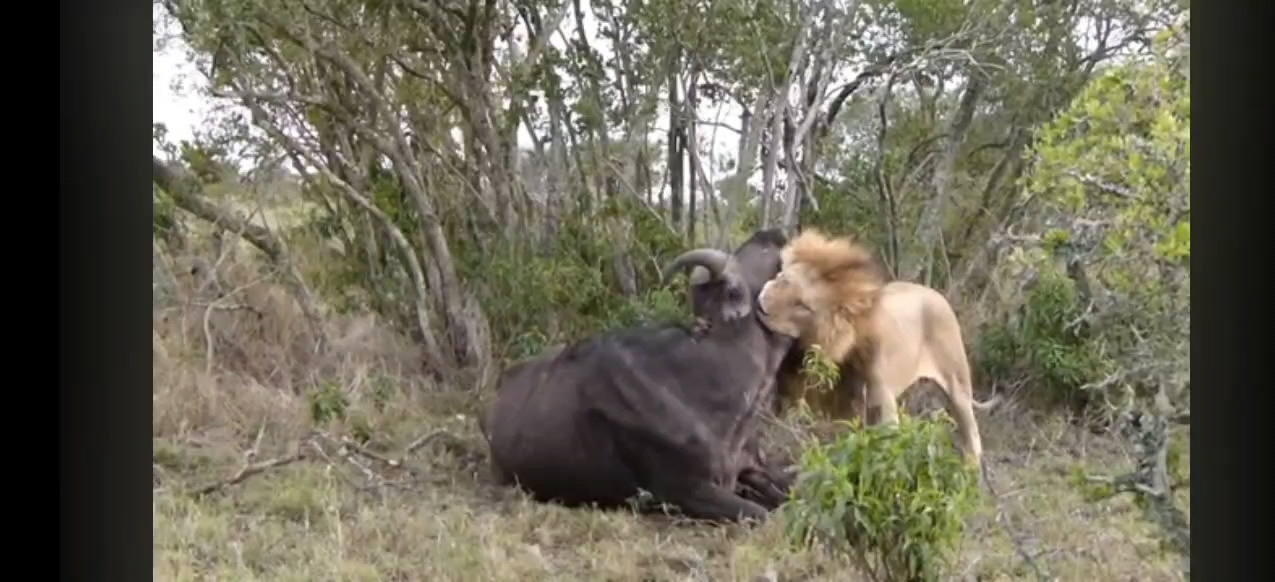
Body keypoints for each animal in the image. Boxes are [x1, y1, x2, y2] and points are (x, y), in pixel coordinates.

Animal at [749, 229, 999, 467]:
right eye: (783, 279)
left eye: (803, 306)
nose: (761, 305)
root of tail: (936, 294)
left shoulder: (882, 403)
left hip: (957, 381)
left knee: (972, 435)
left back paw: (970, 469)